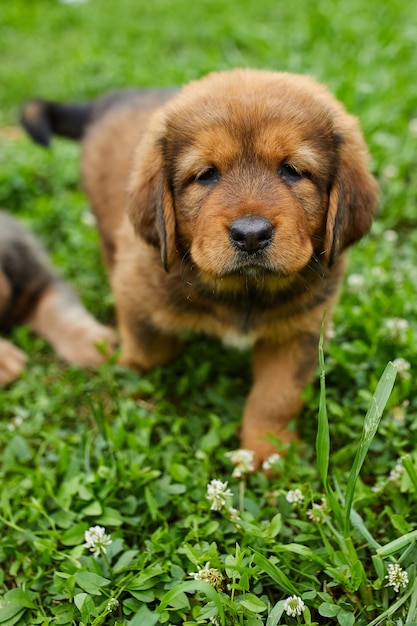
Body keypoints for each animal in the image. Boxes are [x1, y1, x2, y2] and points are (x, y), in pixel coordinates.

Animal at [21, 69, 378, 464]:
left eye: (293, 171)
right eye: (205, 175)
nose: (251, 235)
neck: (244, 290)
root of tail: (109, 99)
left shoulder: (299, 331)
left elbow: (275, 398)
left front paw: (266, 454)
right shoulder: (134, 295)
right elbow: (148, 351)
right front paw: (129, 382)